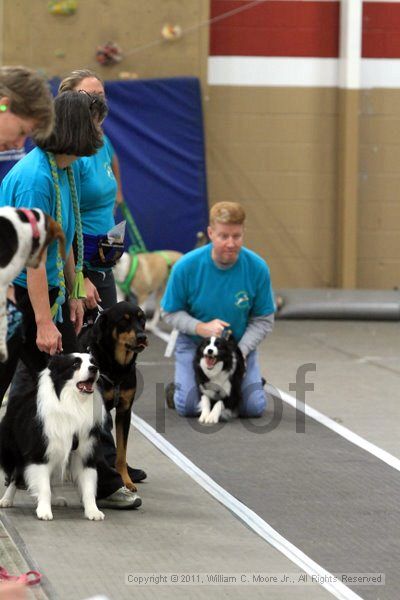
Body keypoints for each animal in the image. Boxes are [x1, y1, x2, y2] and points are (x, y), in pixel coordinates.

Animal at [78, 302, 147, 490]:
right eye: (124, 321)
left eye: (142, 319)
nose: (142, 337)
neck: (117, 368)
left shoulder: (124, 411)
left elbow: (122, 453)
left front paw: (126, 480)